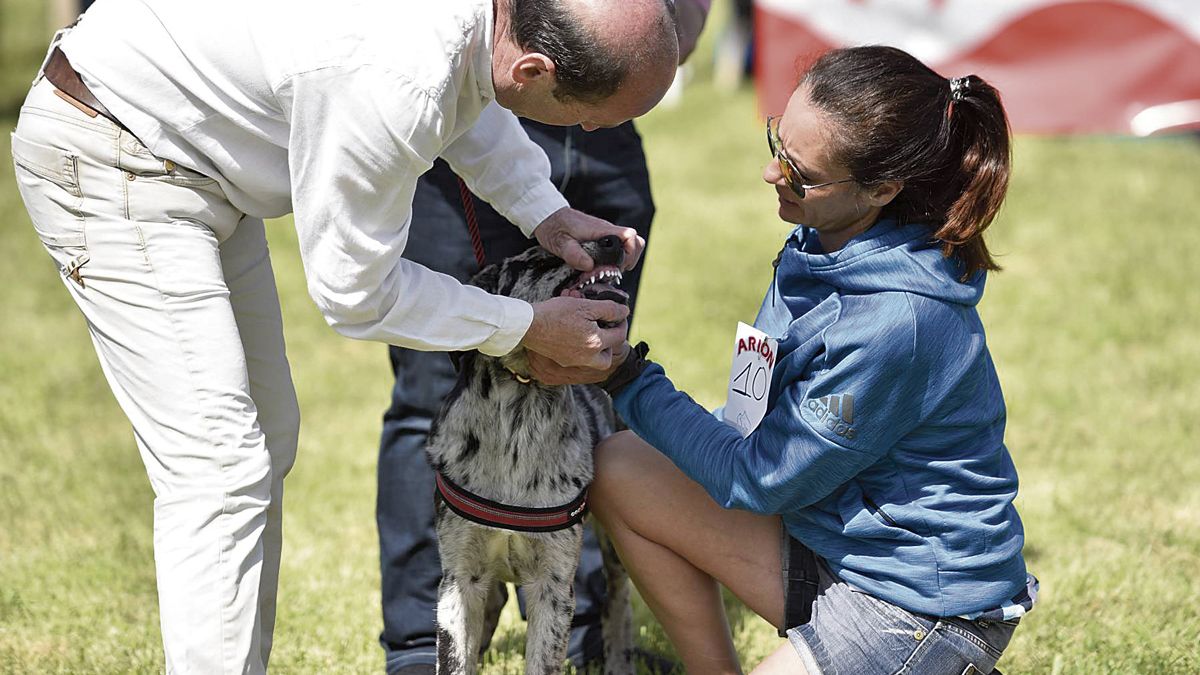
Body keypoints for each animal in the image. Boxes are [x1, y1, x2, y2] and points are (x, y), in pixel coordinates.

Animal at [432, 236, 638, 672]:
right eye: (542, 259)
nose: (615, 239)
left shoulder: (554, 584)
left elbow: (544, 659)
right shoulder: (458, 578)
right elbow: (456, 657)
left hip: (614, 549)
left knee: (618, 602)